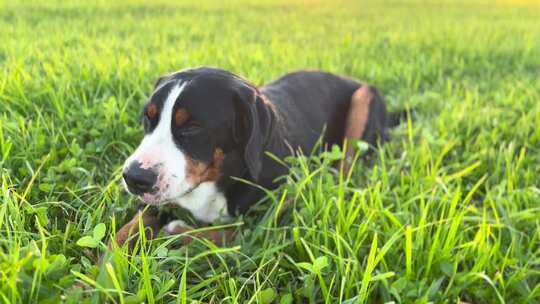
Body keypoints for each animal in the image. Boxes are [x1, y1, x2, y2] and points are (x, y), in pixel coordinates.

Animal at [116, 67, 402, 247]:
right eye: (148, 117)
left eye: (192, 127)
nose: (134, 178)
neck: (220, 179)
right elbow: (129, 227)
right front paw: (106, 269)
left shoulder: (277, 212)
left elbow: (227, 233)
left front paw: (176, 231)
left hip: (364, 98)